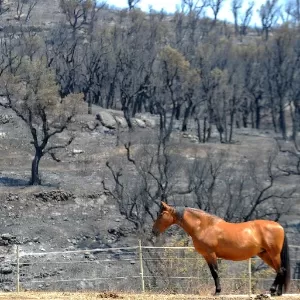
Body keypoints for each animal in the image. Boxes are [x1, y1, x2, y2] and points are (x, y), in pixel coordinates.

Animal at [152, 200, 290, 296]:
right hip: (265, 254)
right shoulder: (206, 256)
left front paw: (217, 292)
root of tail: (279, 226)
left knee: (280, 270)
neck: (204, 226)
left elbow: (215, 272)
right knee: (280, 270)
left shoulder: (211, 254)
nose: (153, 231)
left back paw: (273, 291)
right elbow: (214, 273)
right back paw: (278, 292)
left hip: (273, 254)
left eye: (161, 214)